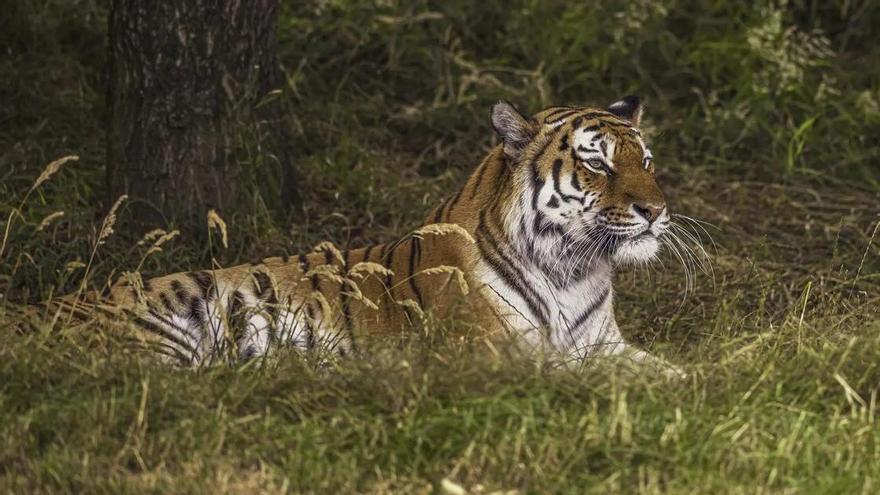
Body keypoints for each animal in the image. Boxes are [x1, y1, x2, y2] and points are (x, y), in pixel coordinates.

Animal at [48, 95, 680, 372]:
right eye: (598, 164)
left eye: (647, 161)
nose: (656, 210)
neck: (572, 268)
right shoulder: (495, 357)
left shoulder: (605, 343)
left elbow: (672, 374)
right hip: (165, 334)